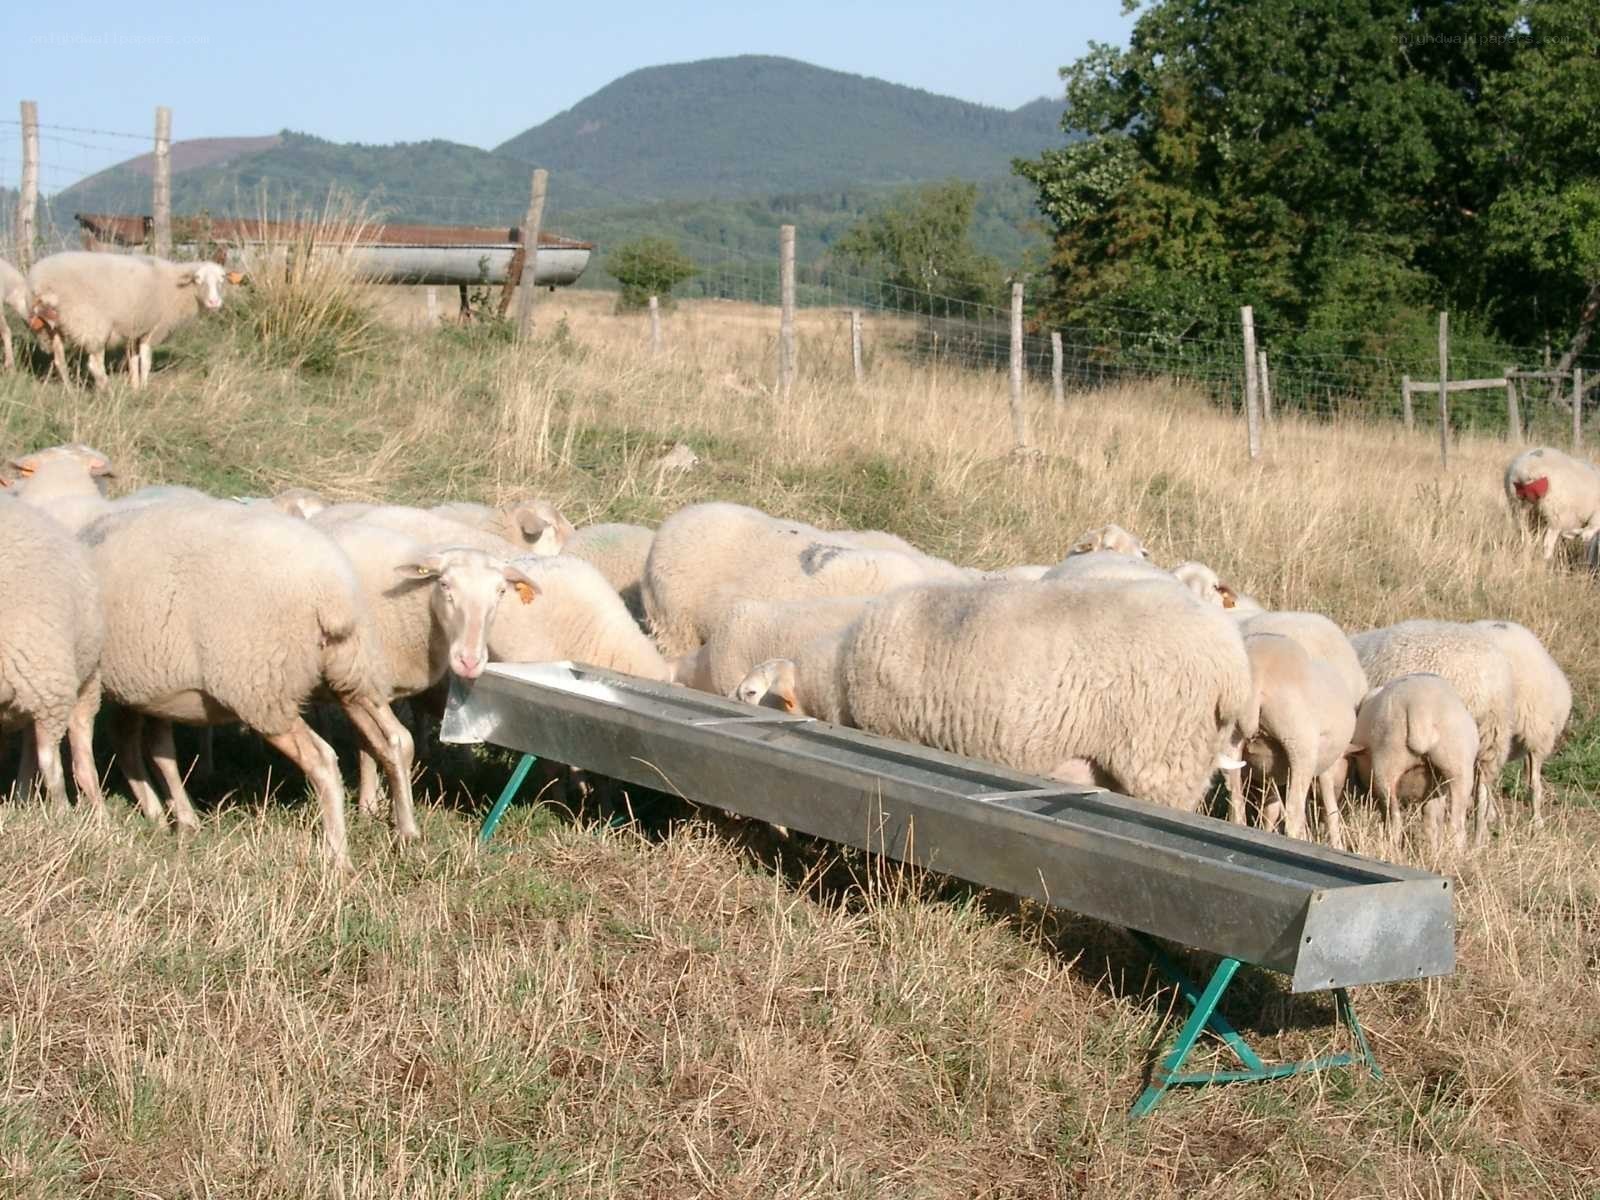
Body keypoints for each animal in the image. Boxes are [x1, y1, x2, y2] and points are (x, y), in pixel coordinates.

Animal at [26, 252, 235, 389]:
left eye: (222, 279)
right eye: (198, 279)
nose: (214, 302)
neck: (178, 289)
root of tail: (43, 283)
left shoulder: (135, 330)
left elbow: (133, 360)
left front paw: (134, 386)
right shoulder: (154, 329)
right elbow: (146, 360)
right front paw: (144, 387)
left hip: (54, 327)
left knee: (59, 361)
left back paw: (70, 392)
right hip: (91, 325)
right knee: (95, 366)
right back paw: (107, 392)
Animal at [78, 497, 416, 867]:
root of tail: (332, 593)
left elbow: (110, 747)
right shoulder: (150, 688)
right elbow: (155, 750)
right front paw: (175, 818)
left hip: (262, 689)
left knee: (323, 761)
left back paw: (338, 857)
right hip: (352, 673)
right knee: (396, 740)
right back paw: (407, 832)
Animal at [1230, 633, 1358, 848]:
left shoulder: (1272, 772)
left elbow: (1271, 809)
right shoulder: (1326, 766)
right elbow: (1330, 808)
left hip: (1229, 742)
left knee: (1236, 806)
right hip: (1301, 745)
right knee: (1293, 815)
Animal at [1348, 674, 1479, 851]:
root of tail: (1421, 707)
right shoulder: (1435, 789)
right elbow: (1432, 819)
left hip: (1386, 763)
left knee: (1394, 820)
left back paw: (1392, 849)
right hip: (1459, 765)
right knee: (1456, 825)